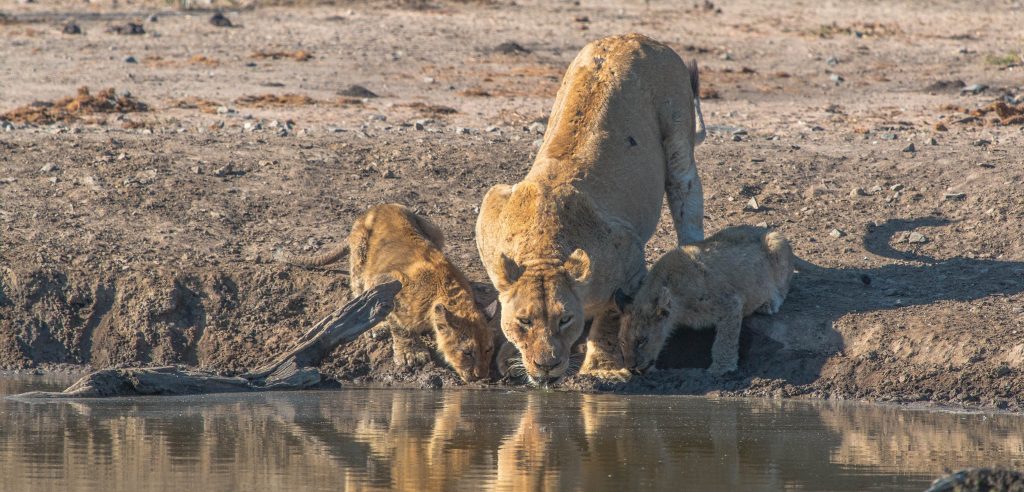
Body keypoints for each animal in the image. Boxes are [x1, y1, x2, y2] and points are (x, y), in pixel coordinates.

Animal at [290, 203, 496, 382]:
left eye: (488, 350)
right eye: (467, 353)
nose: (482, 376)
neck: (448, 293)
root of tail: (381, 205)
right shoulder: (388, 281)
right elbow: (399, 324)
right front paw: (410, 353)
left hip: (434, 229)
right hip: (360, 254)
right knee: (359, 292)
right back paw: (375, 328)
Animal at [475, 33, 706, 384]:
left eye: (565, 319)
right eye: (524, 321)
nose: (547, 365)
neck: (542, 249)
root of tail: (636, 36)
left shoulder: (629, 258)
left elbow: (611, 318)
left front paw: (602, 367)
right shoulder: (493, 204)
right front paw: (507, 356)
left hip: (677, 125)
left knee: (686, 191)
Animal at [616, 226, 795, 375]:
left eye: (642, 341)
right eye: (623, 342)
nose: (630, 367)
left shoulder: (730, 302)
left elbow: (725, 339)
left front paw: (721, 368)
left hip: (775, 241)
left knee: (783, 287)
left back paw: (768, 303)